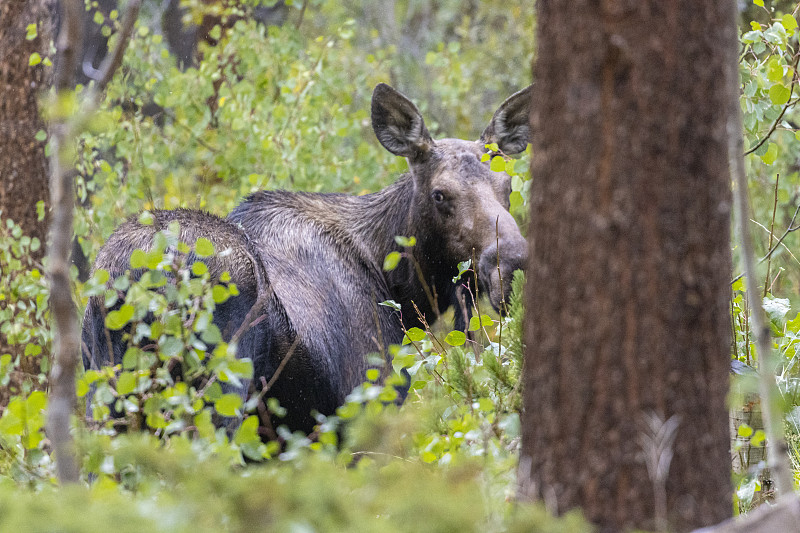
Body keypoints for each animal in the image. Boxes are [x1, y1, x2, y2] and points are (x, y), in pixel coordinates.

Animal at [83, 82, 532, 432]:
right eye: (440, 194)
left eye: (508, 185)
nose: (512, 262)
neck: (401, 289)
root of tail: (136, 283)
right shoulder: (364, 409)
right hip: (215, 395)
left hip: (106, 393)